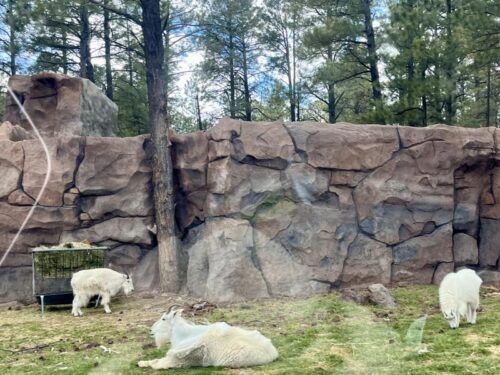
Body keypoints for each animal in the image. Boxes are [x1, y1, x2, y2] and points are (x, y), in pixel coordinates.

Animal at [138, 306, 278, 372]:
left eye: (163, 319)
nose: (151, 331)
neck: (186, 335)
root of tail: (273, 353)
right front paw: (141, 362)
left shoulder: (180, 359)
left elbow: (157, 363)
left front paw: (142, 363)